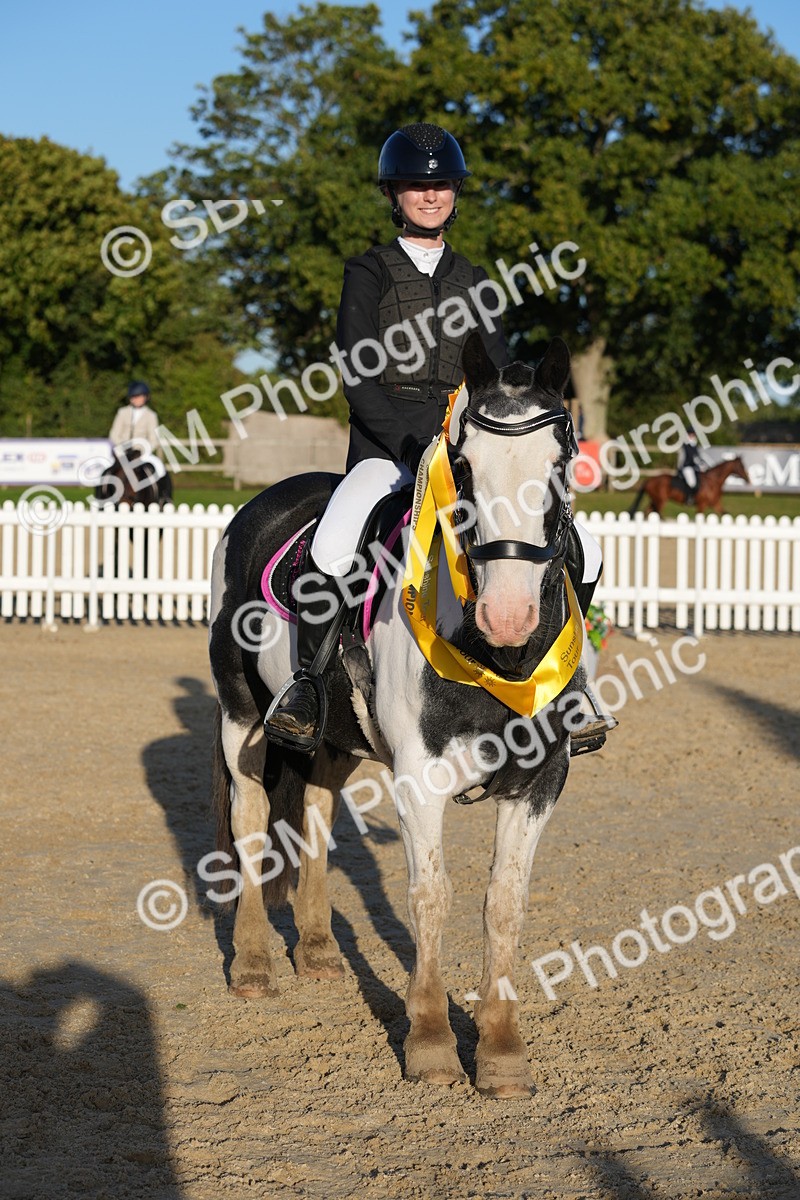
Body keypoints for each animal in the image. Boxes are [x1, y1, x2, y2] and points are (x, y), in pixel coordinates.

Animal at [208, 332, 585, 1098]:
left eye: (559, 466)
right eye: (463, 467)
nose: (506, 615)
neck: (498, 661)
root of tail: (263, 502)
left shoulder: (542, 781)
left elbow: (505, 902)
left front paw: (502, 1053)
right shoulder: (420, 778)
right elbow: (431, 896)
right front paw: (433, 1044)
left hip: (331, 740)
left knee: (315, 814)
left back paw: (320, 952)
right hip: (242, 719)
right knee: (254, 820)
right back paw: (255, 965)